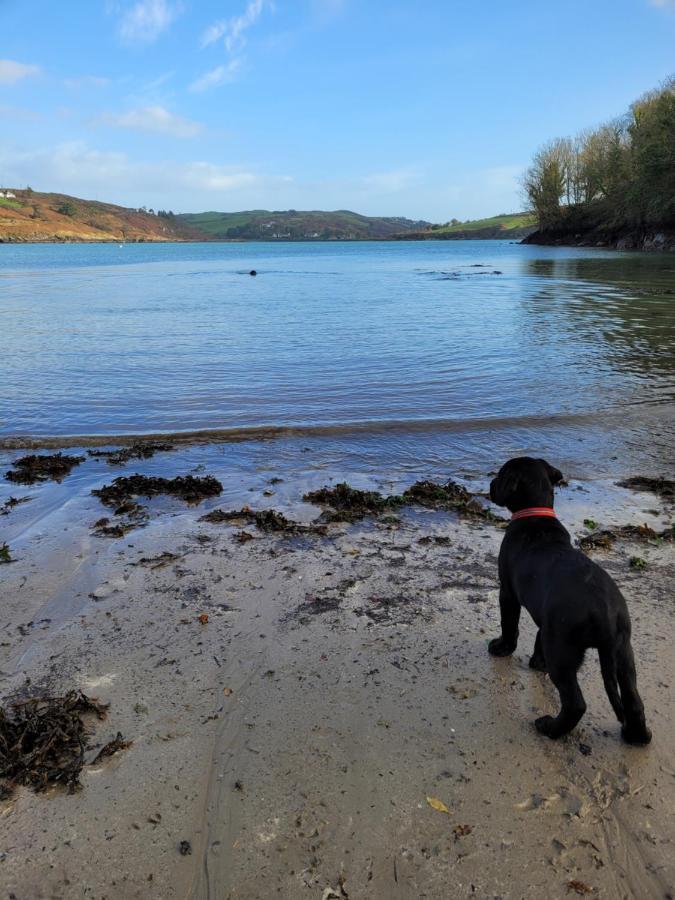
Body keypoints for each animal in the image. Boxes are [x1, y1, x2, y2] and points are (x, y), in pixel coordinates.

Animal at [488, 458, 652, 744]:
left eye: (501, 475)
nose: (490, 485)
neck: (535, 514)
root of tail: (605, 614)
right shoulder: (546, 620)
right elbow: (538, 636)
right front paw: (537, 662)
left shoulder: (507, 592)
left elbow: (510, 625)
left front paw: (502, 648)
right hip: (623, 652)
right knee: (633, 701)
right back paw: (637, 736)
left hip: (563, 652)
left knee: (575, 703)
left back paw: (549, 727)